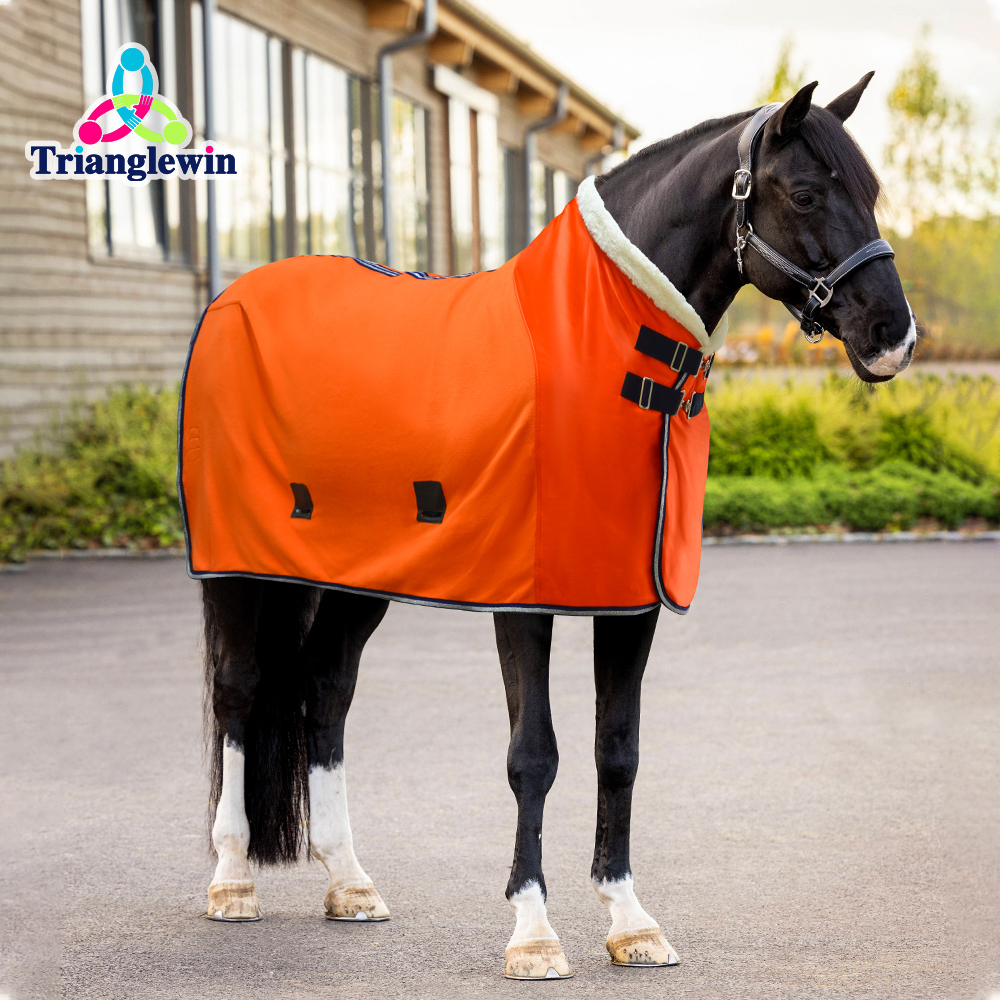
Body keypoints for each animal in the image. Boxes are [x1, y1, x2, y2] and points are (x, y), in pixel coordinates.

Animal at [190, 77, 915, 979]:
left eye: (871, 193)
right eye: (809, 193)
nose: (893, 335)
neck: (601, 342)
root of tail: (234, 297)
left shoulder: (630, 601)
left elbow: (619, 750)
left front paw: (630, 921)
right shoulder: (523, 600)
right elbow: (533, 755)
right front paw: (533, 932)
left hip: (362, 575)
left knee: (324, 692)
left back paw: (350, 881)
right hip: (236, 568)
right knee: (239, 691)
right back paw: (230, 881)